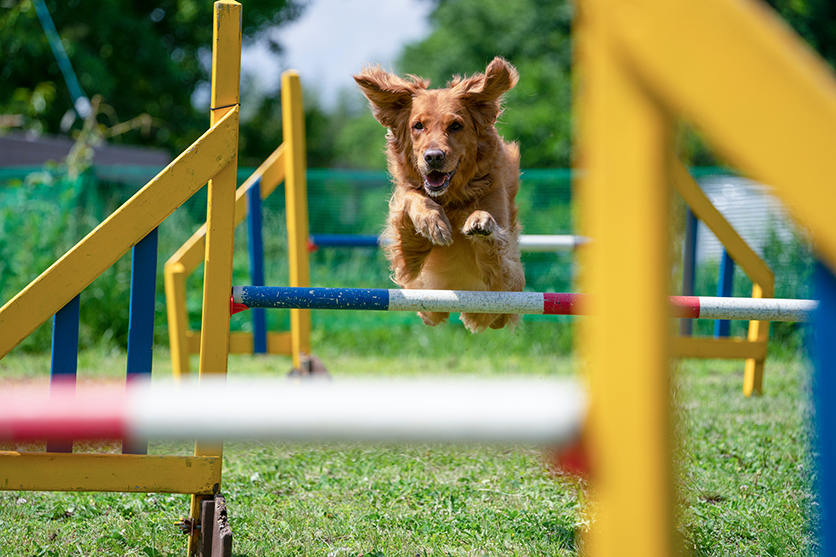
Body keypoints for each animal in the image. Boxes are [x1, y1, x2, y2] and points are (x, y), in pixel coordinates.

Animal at [352, 57, 524, 330]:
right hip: (428, 305)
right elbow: (412, 200)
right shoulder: (407, 264)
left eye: (455, 126)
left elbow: (494, 243)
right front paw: (433, 222)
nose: (433, 157)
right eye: (418, 126)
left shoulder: (508, 277)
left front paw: (480, 222)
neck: (452, 198)